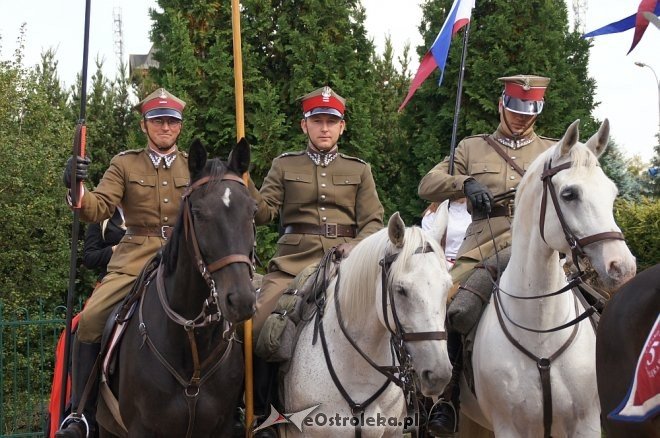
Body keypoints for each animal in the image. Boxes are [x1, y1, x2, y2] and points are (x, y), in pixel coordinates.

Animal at [99, 139, 256, 438]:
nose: (241, 299)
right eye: (198, 213)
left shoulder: (222, 428)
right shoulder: (141, 430)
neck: (191, 340)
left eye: (251, 212)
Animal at [462, 120, 636, 438]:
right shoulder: (509, 427)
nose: (622, 267)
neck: (540, 328)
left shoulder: (586, 423)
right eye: (569, 194)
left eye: (612, 193)